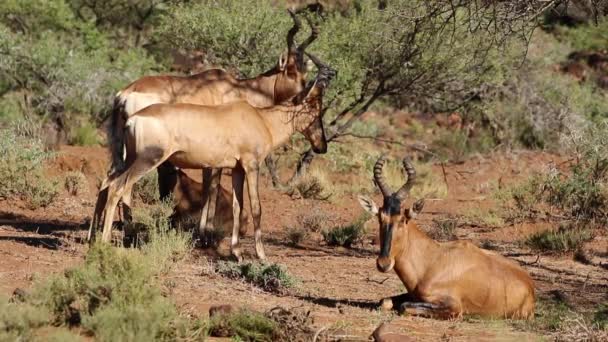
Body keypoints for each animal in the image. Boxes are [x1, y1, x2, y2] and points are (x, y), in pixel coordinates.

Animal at [90, 53, 338, 260]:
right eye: (314, 107)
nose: (321, 146)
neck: (258, 117)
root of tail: (132, 115)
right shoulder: (251, 165)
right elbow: (256, 207)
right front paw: (261, 255)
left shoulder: (237, 168)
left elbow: (238, 206)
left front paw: (237, 252)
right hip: (147, 160)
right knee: (118, 187)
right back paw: (106, 243)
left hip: (128, 159)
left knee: (106, 182)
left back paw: (93, 238)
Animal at [109, 11, 318, 235]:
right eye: (290, 70)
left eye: (304, 71)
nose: (304, 98)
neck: (236, 89)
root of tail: (125, 94)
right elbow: (213, 186)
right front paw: (207, 229)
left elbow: (209, 185)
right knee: (126, 184)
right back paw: (129, 229)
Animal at [358, 156, 536, 320]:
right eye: (380, 217)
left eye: (403, 219)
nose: (383, 263)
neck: (431, 260)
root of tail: (529, 285)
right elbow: (385, 301)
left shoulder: (454, 307)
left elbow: (404, 307)